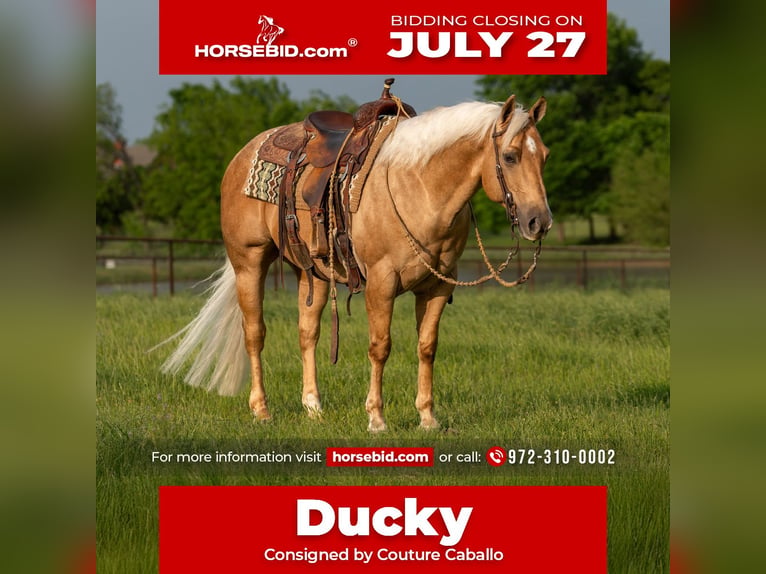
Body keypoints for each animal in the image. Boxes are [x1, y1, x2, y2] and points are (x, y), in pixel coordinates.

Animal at [160, 93, 551, 432]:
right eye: (511, 156)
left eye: (544, 156)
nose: (539, 222)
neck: (419, 187)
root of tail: (243, 154)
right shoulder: (381, 282)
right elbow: (380, 347)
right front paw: (376, 419)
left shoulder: (439, 285)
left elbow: (427, 347)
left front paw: (428, 418)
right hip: (250, 262)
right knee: (255, 333)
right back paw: (261, 410)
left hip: (312, 273)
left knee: (307, 332)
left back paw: (313, 407)